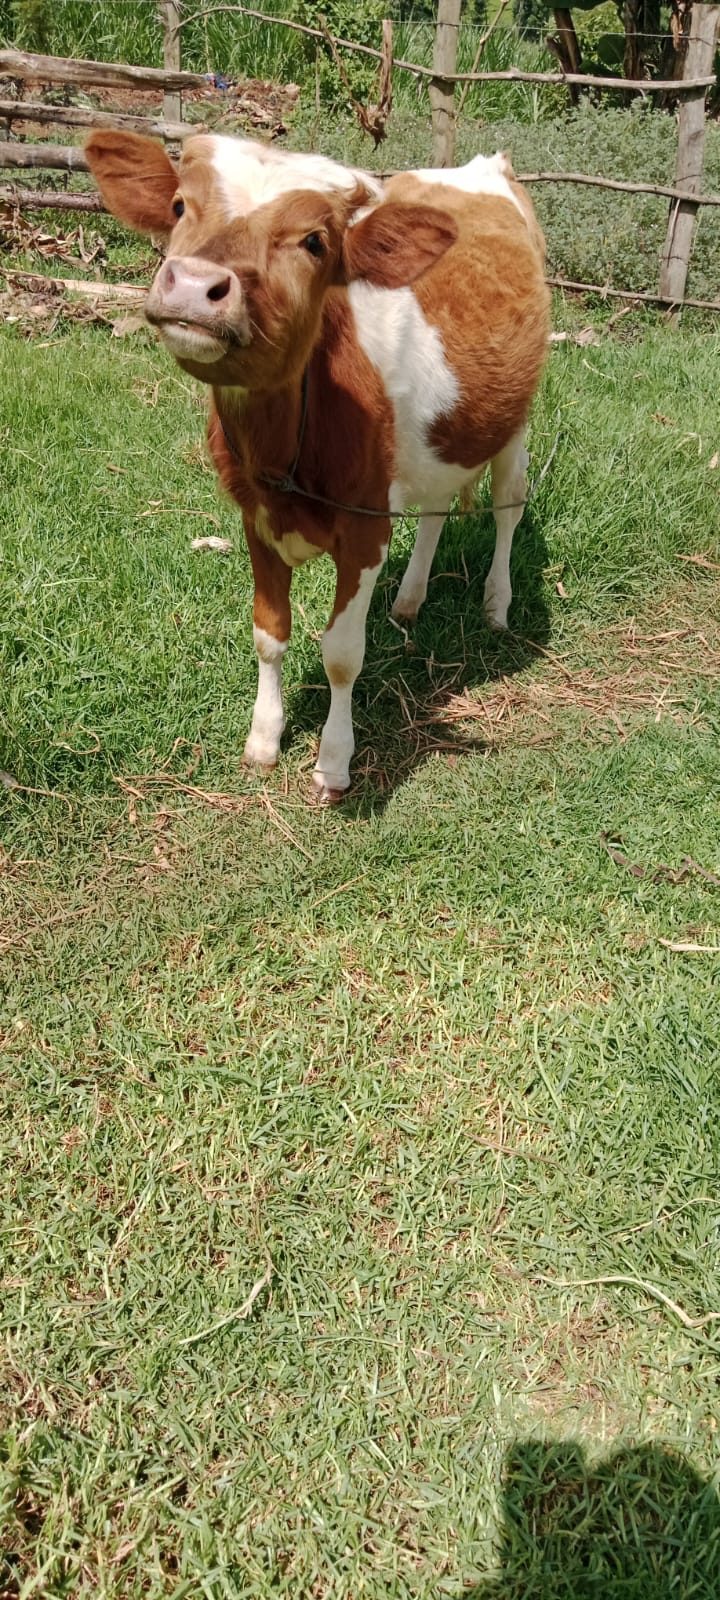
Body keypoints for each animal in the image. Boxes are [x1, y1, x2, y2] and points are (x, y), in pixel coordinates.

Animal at [85, 131, 549, 801]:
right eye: (177, 206)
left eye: (314, 242)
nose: (195, 284)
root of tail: (478, 166)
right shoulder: (255, 518)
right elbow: (268, 631)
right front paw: (263, 740)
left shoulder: (365, 528)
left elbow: (342, 653)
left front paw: (334, 762)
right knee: (437, 506)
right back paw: (409, 600)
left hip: (516, 418)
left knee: (510, 503)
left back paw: (496, 604)